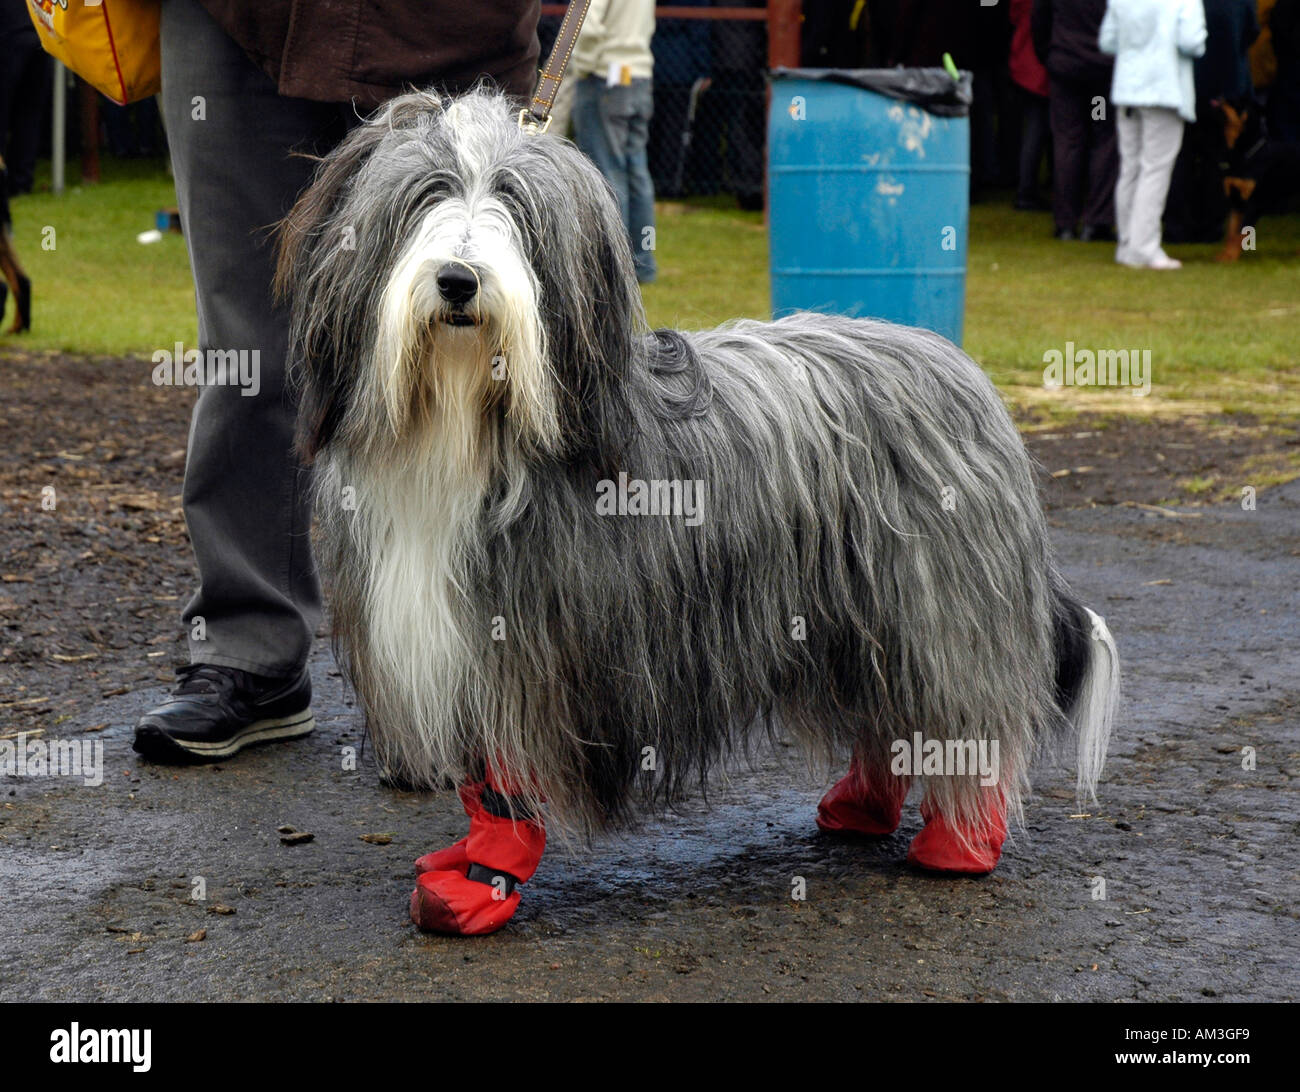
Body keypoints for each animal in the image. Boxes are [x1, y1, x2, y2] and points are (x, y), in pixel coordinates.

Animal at [274, 89, 1118, 935]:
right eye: (426, 194)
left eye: (516, 204)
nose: (458, 280)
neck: (467, 425)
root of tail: (956, 365)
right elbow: (487, 775)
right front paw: (469, 864)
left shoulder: (535, 647)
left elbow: (513, 774)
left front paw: (485, 880)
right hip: (854, 611)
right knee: (884, 710)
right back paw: (862, 806)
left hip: (937, 600)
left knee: (961, 708)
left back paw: (962, 843)